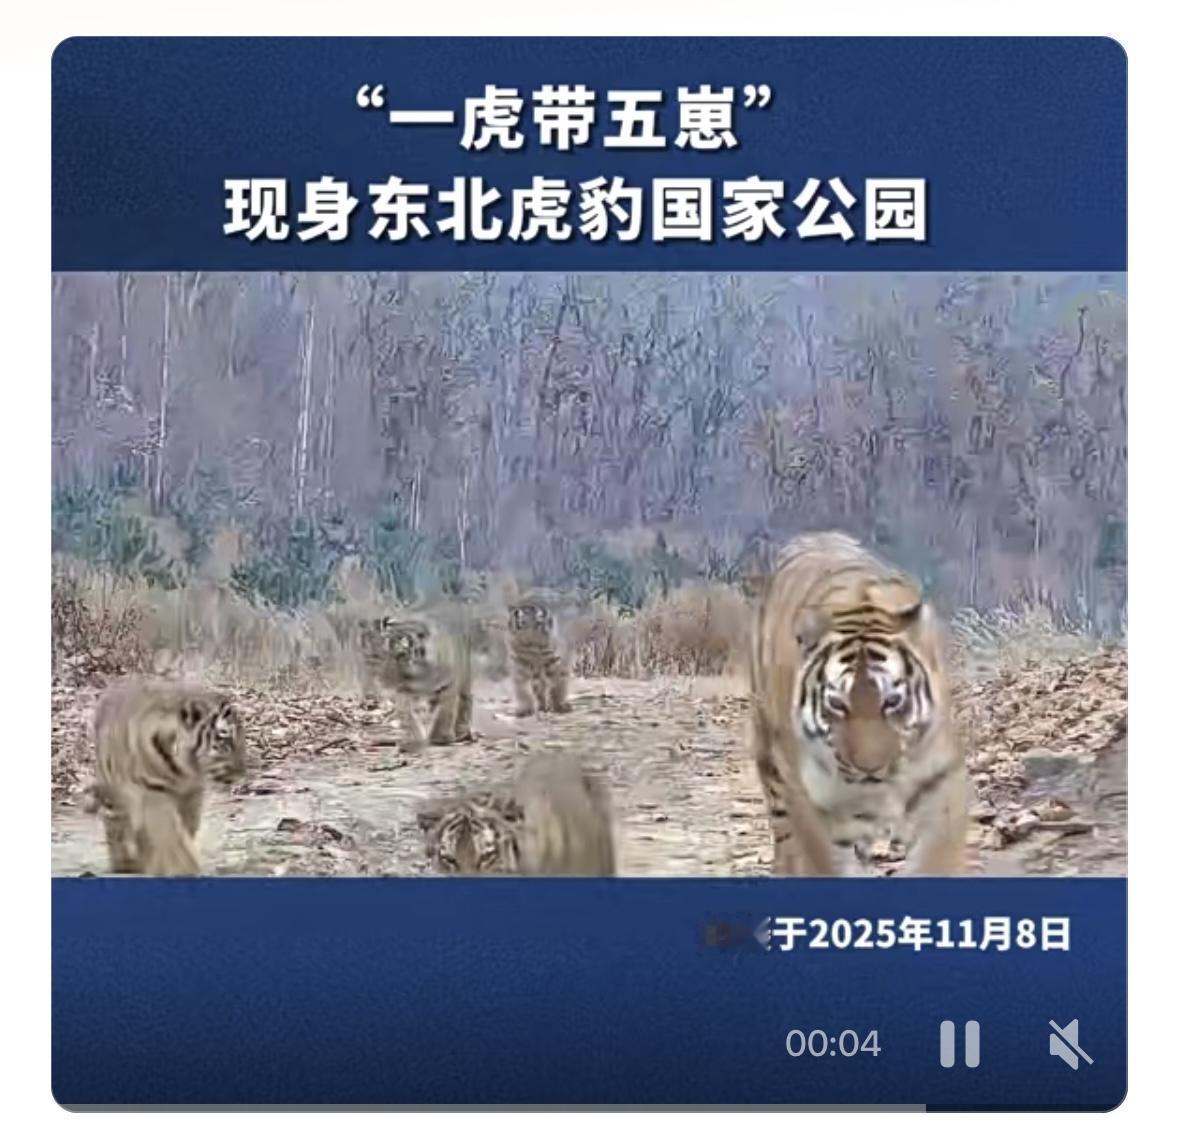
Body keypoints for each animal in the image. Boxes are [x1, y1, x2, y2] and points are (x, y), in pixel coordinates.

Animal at [84, 677, 246, 876]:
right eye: (225, 740)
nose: (243, 770)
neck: (182, 767)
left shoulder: (191, 796)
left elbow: (184, 833)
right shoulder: (155, 797)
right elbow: (174, 841)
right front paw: (185, 869)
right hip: (116, 797)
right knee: (116, 825)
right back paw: (125, 863)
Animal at [357, 611, 473, 753]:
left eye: (401, 655)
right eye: (375, 658)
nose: (386, 683)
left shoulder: (446, 686)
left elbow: (443, 714)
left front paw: (440, 737)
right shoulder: (404, 694)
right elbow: (411, 718)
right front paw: (413, 741)